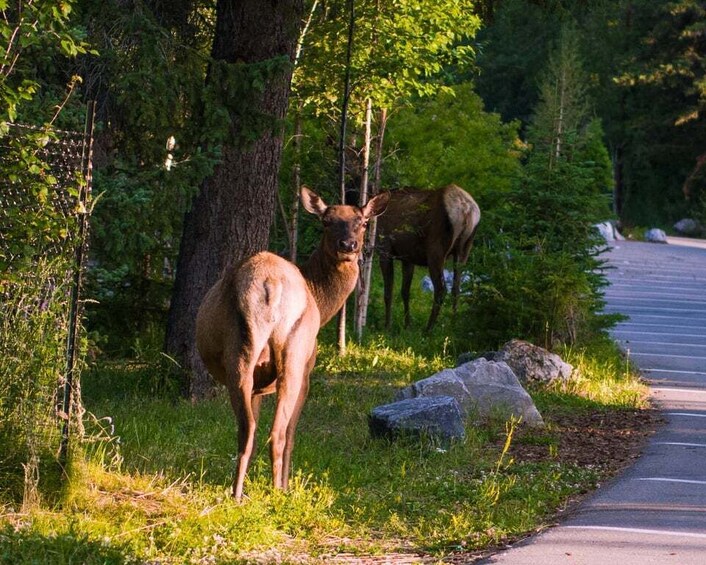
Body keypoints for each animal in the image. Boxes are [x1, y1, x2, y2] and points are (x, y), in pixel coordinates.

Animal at [195, 185, 388, 498]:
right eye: (327, 221)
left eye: (362, 221)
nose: (348, 245)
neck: (321, 301)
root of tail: (271, 283)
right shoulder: (309, 371)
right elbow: (292, 433)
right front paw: (286, 484)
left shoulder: (259, 387)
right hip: (295, 355)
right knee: (279, 433)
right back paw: (277, 493)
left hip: (243, 353)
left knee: (247, 429)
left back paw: (237, 493)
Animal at [374, 183, 478, 330]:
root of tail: (466, 211)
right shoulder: (408, 257)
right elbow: (405, 291)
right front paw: (407, 324)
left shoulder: (384, 248)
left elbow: (388, 292)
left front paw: (387, 326)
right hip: (465, 249)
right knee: (456, 288)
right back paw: (453, 324)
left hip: (436, 251)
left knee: (441, 289)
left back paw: (428, 328)